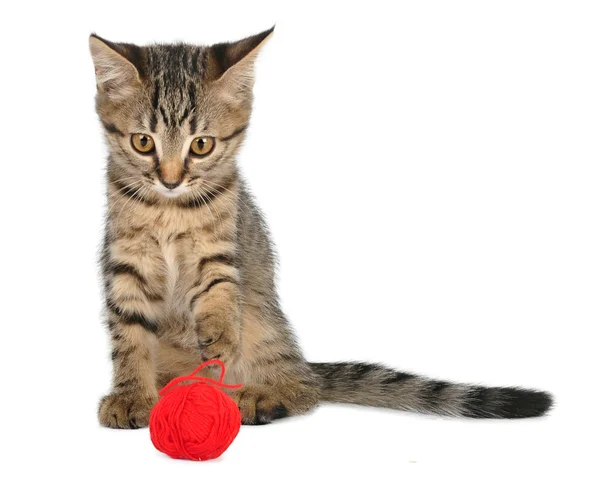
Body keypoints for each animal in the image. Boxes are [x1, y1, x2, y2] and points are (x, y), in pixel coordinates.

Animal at [90, 27, 552, 428]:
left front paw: (218, 338)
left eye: (201, 145)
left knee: (303, 386)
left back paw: (261, 398)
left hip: (262, 321)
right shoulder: (125, 263)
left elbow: (219, 300)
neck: (169, 209)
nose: (170, 180)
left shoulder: (219, 256)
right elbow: (129, 336)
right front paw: (131, 396)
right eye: (143, 142)